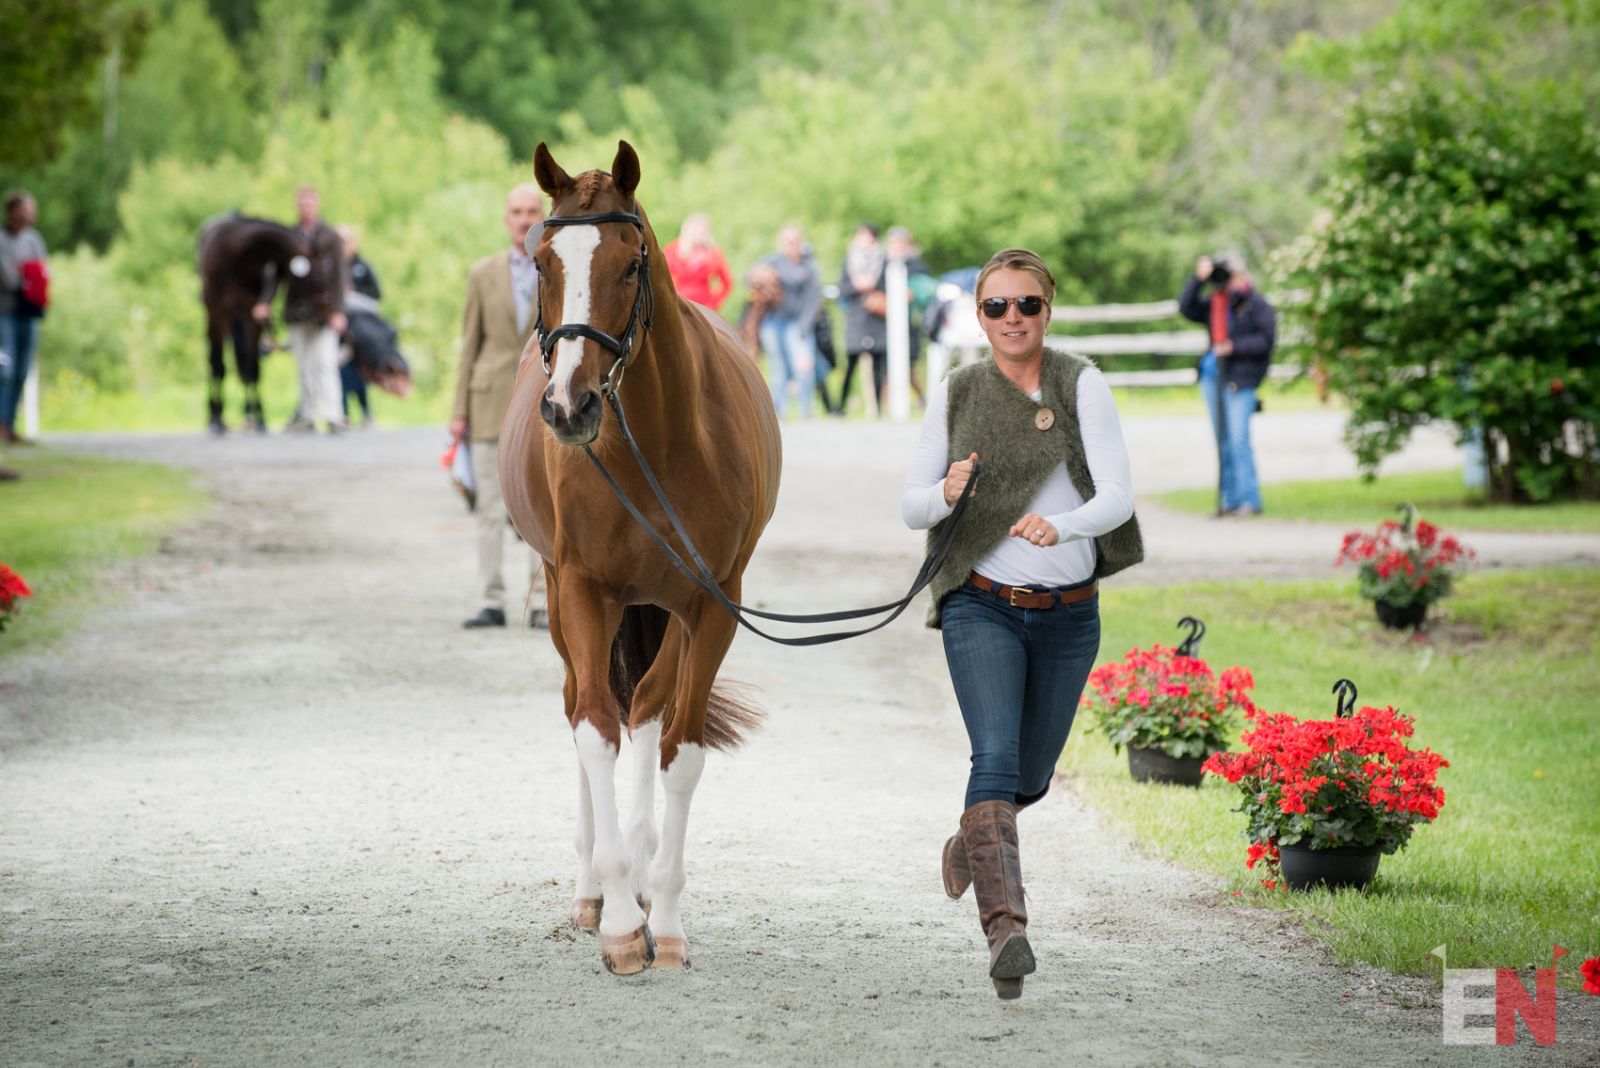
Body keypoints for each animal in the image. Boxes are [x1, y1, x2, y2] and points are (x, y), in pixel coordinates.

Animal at [197, 213, 324, 433]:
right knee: (216, 362)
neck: (238, 257)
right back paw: (216, 416)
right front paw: (216, 419)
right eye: (315, 279)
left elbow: (252, 367)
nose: (305, 313)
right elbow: (218, 365)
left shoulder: (251, 315)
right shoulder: (217, 312)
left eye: (276, 273)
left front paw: (259, 417)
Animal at [499, 141, 782, 974]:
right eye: (542, 262)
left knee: (649, 709)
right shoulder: (583, 590)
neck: (656, 442)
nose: (569, 406)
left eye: (630, 265)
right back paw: (595, 887)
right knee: (582, 706)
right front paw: (622, 920)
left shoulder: (711, 604)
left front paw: (667, 913)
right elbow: (594, 727)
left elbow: (677, 746)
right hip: (566, 601)